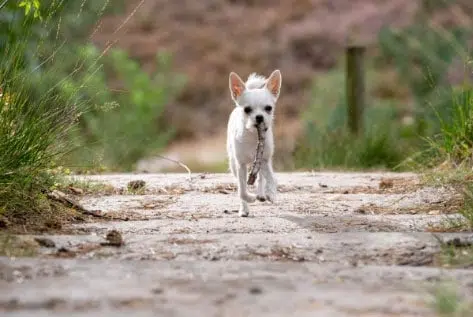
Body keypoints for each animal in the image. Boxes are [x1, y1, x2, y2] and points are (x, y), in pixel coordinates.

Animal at [225, 69, 280, 217]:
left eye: (268, 108)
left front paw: (271, 193)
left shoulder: (264, 160)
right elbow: (242, 190)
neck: (253, 136)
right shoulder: (241, 165)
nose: (259, 117)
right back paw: (245, 208)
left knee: (261, 177)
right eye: (247, 109)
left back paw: (261, 193)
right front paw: (248, 200)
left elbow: (270, 178)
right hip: (233, 163)